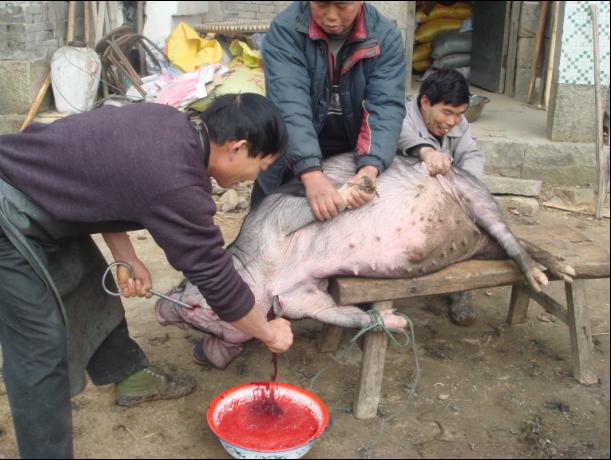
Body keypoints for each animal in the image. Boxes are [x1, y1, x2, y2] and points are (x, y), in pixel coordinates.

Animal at [155, 153, 574, 369]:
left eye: (182, 283)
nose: (161, 308)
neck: (268, 278)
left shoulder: (277, 218)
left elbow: (317, 205)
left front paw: (359, 189)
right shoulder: (305, 300)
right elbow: (345, 315)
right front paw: (397, 322)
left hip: (471, 191)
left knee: (509, 235)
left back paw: (544, 276)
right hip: (478, 241)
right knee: (511, 240)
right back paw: (560, 270)